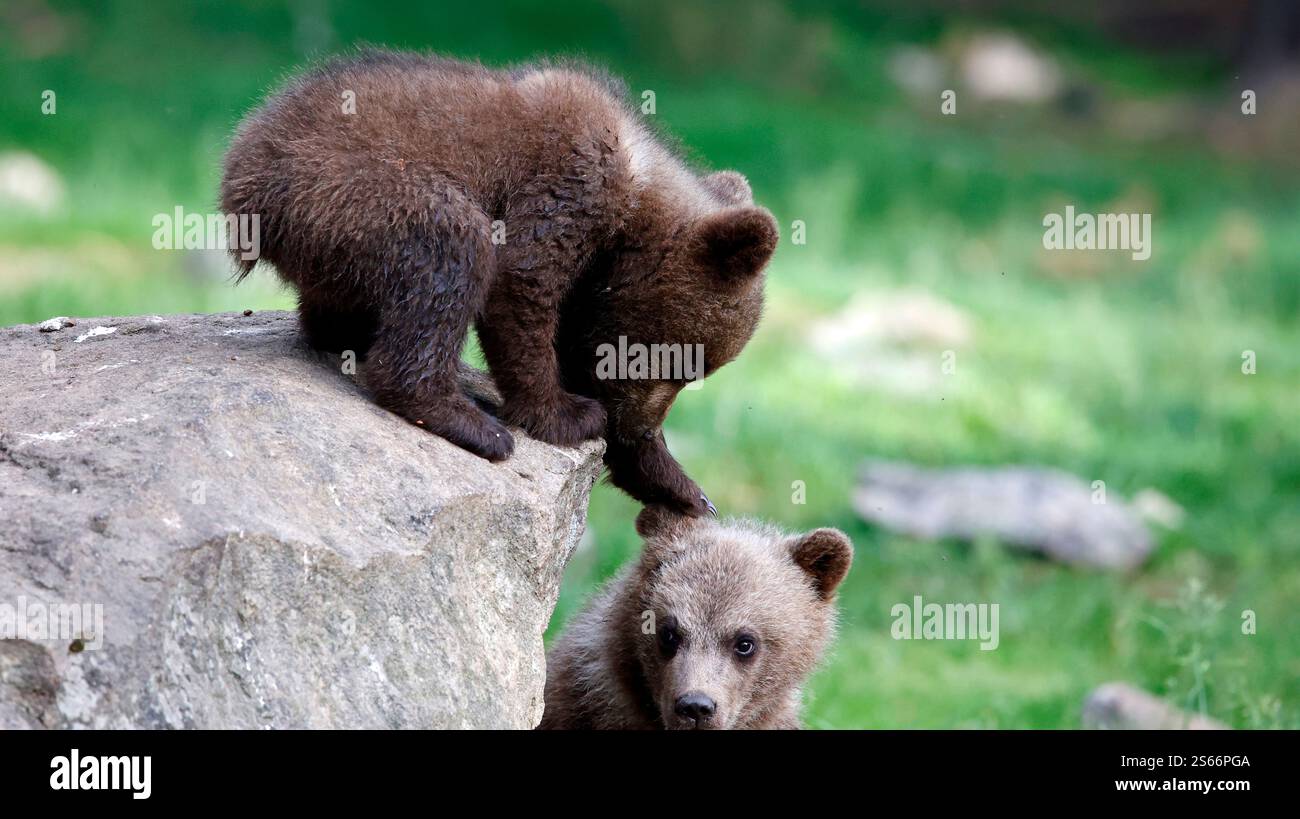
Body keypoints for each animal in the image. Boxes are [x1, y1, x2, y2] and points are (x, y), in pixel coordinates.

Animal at [220, 50, 777, 517]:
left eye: (695, 371)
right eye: (680, 364)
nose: (644, 429)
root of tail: (243, 168)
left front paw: (680, 486)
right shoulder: (572, 176)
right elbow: (520, 281)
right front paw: (566, 415)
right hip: (353, 185)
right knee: (452, 246)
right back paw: (469, 422)